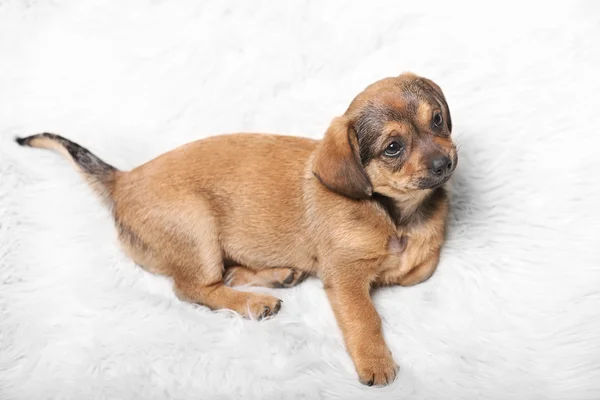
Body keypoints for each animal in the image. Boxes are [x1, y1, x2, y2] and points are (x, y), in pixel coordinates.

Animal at [16, 72, 460, 388]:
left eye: (438, 120)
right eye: (393, 148)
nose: (445, 164)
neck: (396, 213)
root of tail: (124, 180)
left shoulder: (419, 258)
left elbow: (420, 268)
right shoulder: (344, 277)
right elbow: (365, 318)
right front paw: (376, 362)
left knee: (223, 274)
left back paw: (277, 275)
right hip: (197, 228)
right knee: (192, 288)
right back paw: (254, 302)